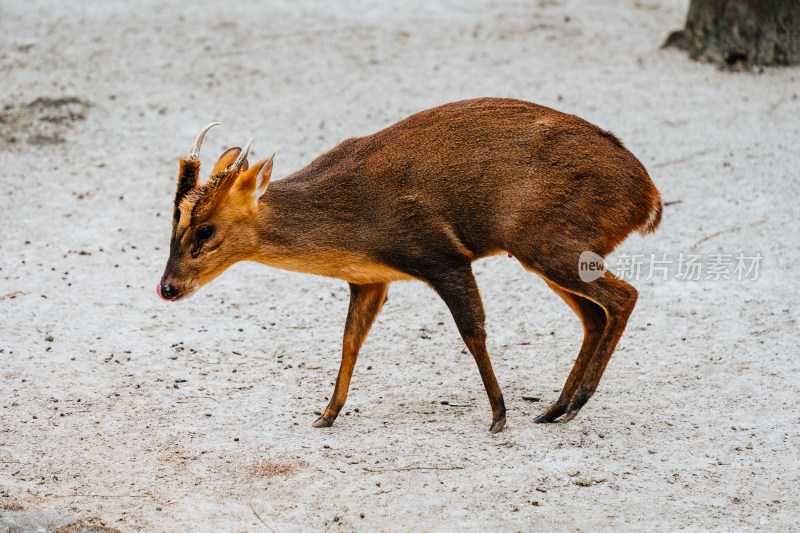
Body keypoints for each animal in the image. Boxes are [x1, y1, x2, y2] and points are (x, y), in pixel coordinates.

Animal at [158, 98, 664, 432]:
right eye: (173, 221)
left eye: (205, 230)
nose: (167, 288)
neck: (352, 226)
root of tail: (648, 198)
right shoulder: (369, 279)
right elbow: (350, 339)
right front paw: (327, 413)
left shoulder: (441, 255)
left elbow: (473, 331)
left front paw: (498, 416)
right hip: (543, 251)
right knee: (594, 315)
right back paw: (556, 408)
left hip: (551, 242)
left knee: (623, 297)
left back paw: (576, 401)